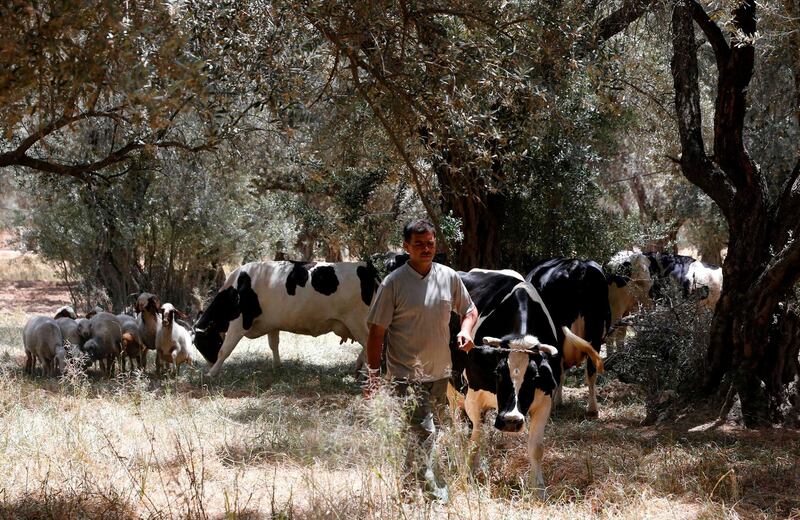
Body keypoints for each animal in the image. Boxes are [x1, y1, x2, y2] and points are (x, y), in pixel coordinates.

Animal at [195, 262, 382, 376]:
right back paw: (359, 368)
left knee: (369, 344)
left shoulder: (238, 323)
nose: (210, 364)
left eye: (201, 343)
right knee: (366, 346)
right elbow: (274, 345)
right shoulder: (272, 324)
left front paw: (211, 374)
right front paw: (277, 366)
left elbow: (225, 350)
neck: (237, 289)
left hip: (357, 321)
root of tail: (366, 268)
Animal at [446, 268, 604, 496]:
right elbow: (476, 439)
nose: (511, 420)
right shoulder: (473, 399)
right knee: (459, 426)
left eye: (534, 376)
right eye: (498, 372)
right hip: (452, 388)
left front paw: (538, 488)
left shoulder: (545, 400)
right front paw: (468, 475)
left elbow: (536, 448)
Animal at [528, 256, 608, 418]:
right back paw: (592, 409)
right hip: (596, 333)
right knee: (591, 370)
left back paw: (552, 407)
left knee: (557, 369)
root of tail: (576, 265)